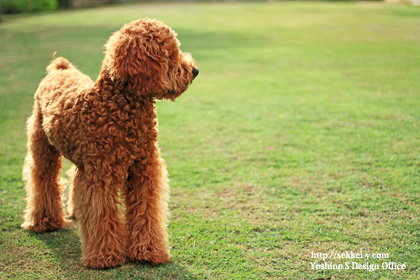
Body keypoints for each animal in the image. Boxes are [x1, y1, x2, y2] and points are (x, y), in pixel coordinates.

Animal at [22, 19, 199, 270]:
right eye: (169, 53)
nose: (194, 71)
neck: (119, 104)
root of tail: (61, 69)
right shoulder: (101, 175)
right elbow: (102, 214)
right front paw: (105, 257)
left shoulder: (144, 170)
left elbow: (146, 211)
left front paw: (149, 251)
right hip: (43, 146)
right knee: (43, 178)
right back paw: (44, 221)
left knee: (73, 176)